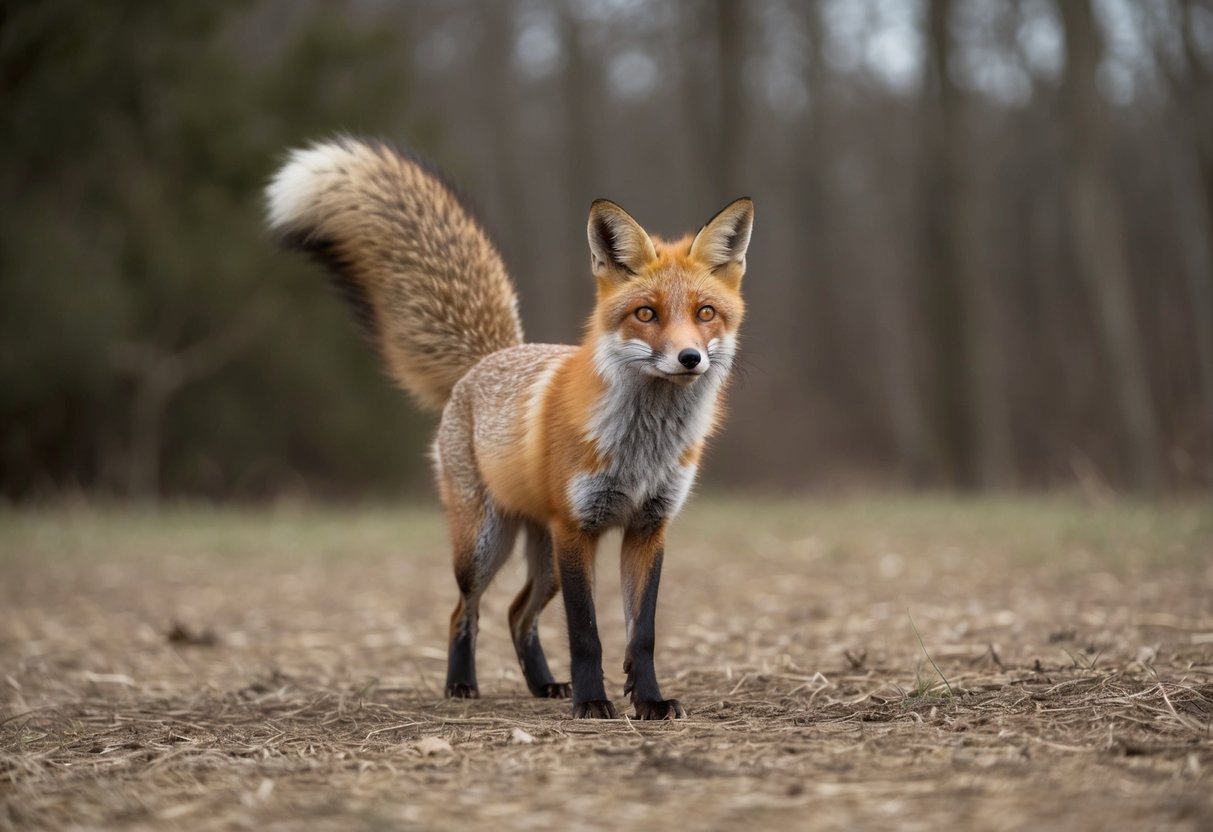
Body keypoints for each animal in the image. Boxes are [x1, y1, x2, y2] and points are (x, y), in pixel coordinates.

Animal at [266, 136, 752, 719]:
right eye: (646, 314)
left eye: (705, 313)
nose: (689, 359)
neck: (643, 446)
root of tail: (492, 355)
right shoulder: (577, 529)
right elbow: (586, 634)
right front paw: (593, 704)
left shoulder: (648, 528)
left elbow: (642, 635)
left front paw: (650, 702)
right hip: (484, 545)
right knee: (464, 612)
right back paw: (461, 684)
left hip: (543, 561)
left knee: (517, 614)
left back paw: (543, 685)